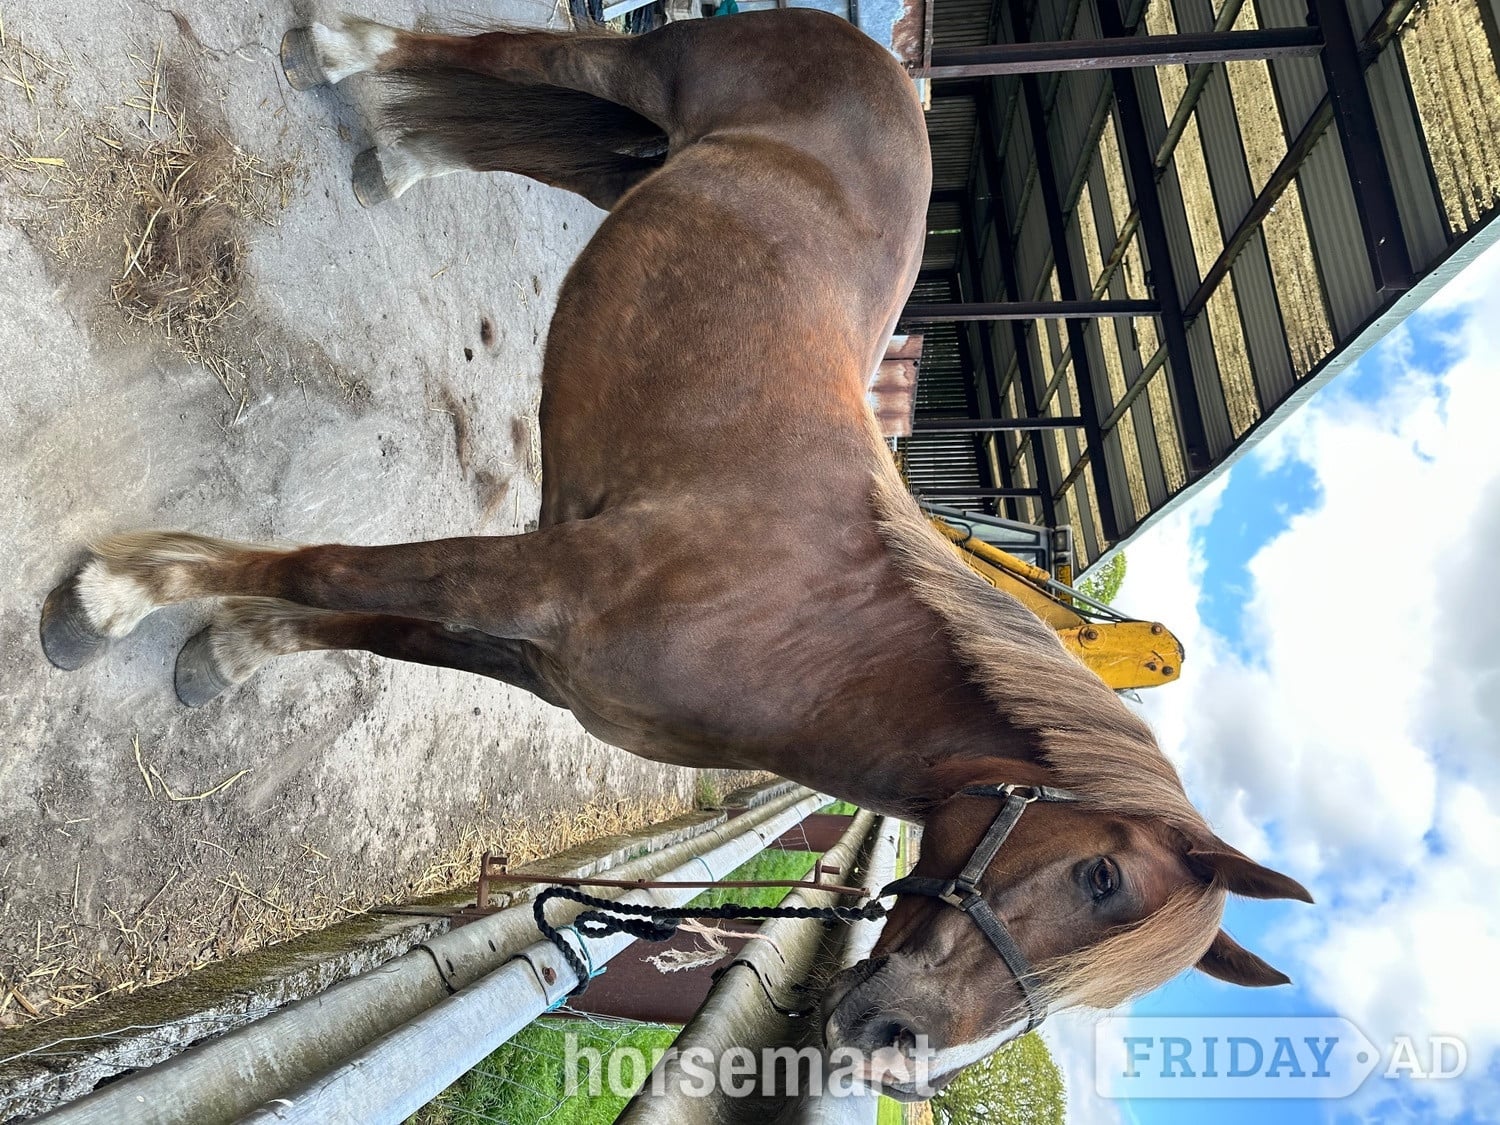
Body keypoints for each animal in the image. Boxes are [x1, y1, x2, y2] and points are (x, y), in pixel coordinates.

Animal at [39, 8, 1310, 1097]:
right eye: (1102, 878)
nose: (889, 1047)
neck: (812, 633)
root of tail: (879, 54)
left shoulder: (533, 648)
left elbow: (364, 621)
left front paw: (225, 651)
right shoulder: (533, 583)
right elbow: (330, 571)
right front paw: (115, 596)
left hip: (635, 162)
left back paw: (393, 158)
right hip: (653, 79)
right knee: (519, 51)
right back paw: (332, 48)